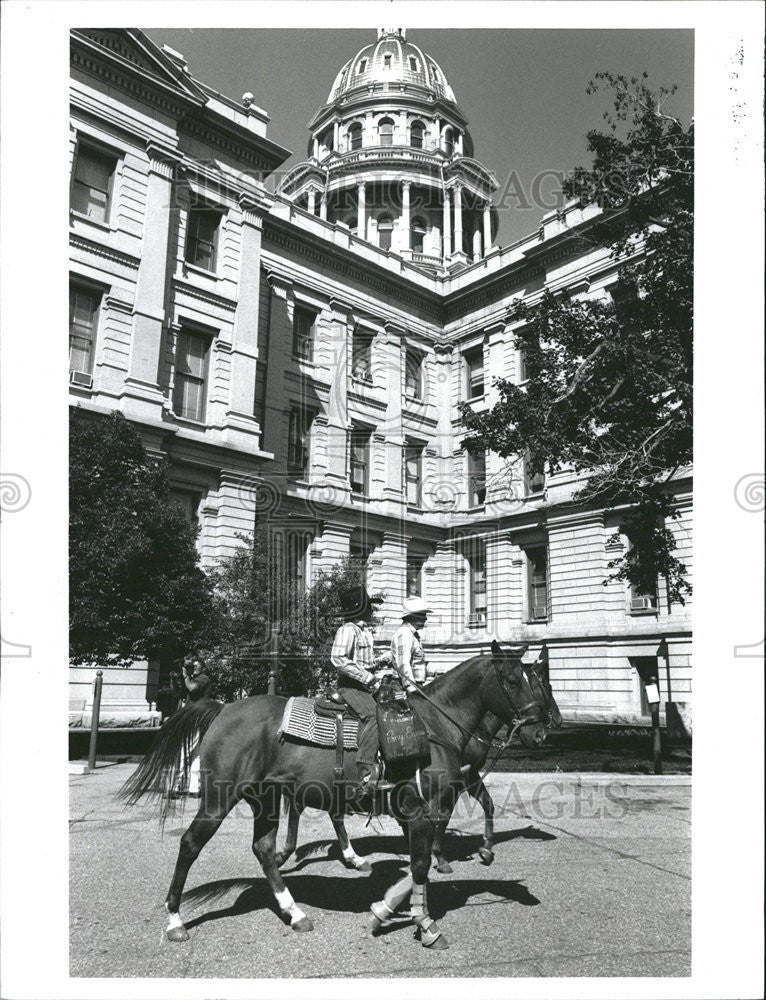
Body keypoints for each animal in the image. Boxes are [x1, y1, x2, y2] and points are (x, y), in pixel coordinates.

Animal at [276, 644, 564, 872]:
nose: (540, 733)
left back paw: (348, 858)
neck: (438, 721)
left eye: (535, 684)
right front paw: (439, 857)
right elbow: (442, 818)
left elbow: (487, 805)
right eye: (514, 682)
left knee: (323, 813)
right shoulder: (447, 785)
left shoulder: (466, 776)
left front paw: (486, 849)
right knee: (307, 810)